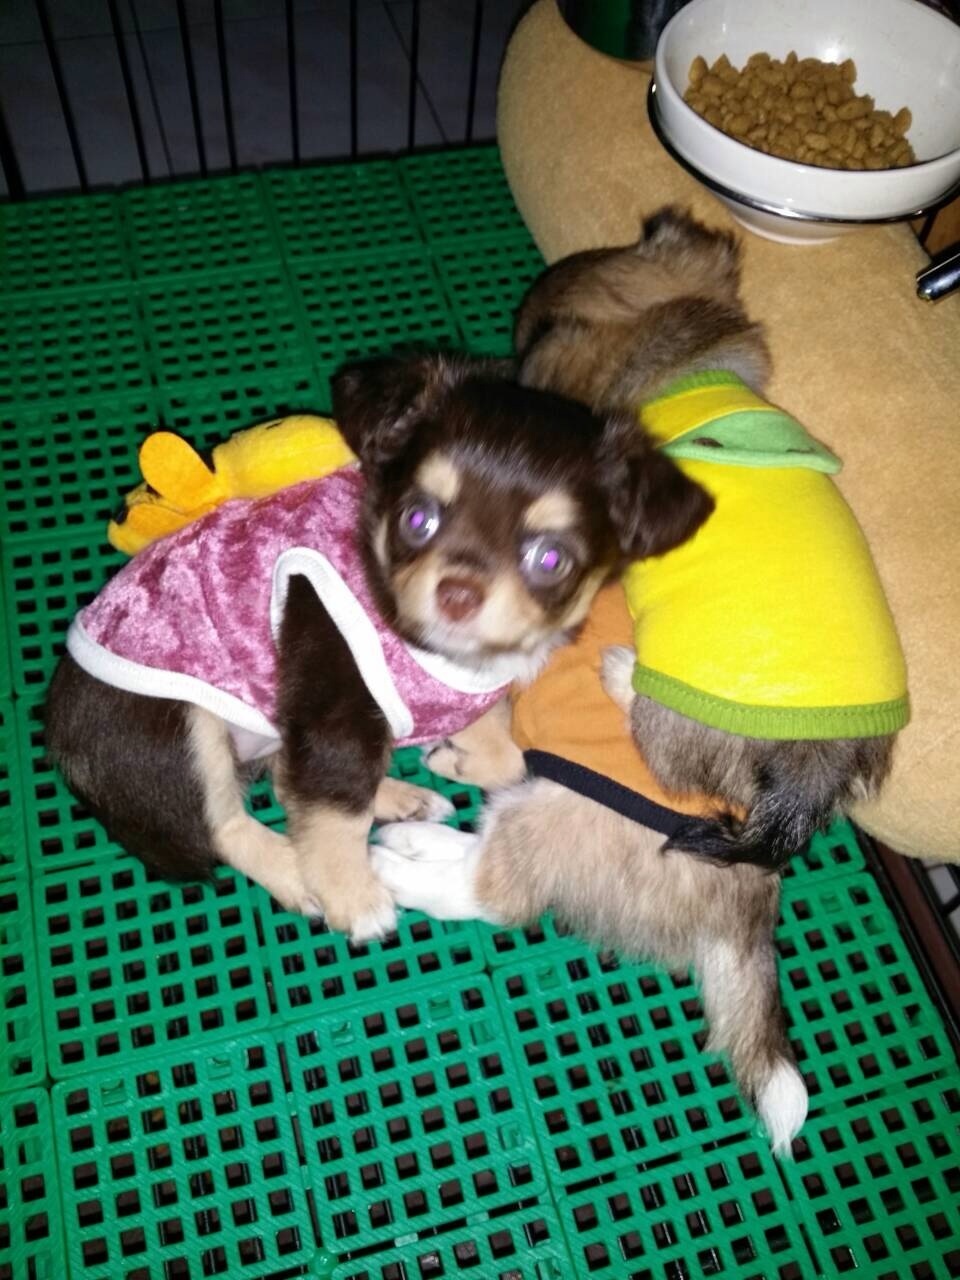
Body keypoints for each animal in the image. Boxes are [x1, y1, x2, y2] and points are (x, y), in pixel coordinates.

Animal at [46, 351, 710, 943]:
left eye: (550, 559)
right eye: (418, 519)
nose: (458, 593)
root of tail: (59, 741)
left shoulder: (451, 696)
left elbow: (505, 754)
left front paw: (456, 760)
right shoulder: (333, 712)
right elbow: (334, 809)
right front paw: (351, 896)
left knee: (291, 779)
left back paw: (400, 798)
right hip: (182, 725)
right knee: (227, 822)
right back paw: (298, 873)